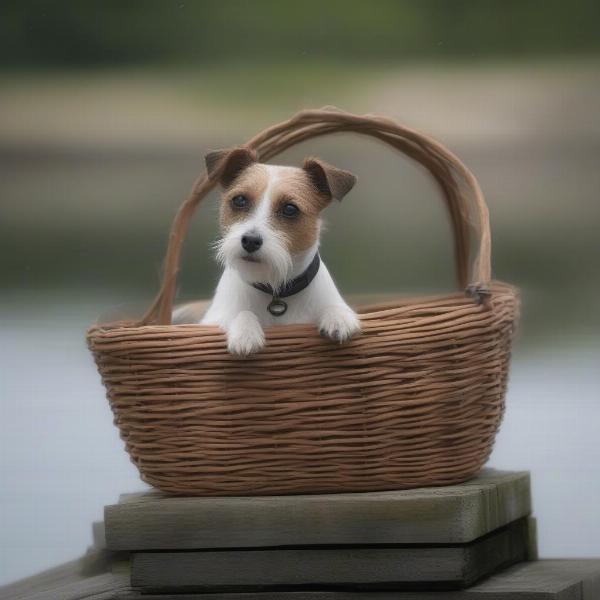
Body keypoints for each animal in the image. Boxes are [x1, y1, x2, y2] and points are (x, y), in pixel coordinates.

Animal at [176, 149, 358, 356]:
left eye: (290, 209)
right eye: (239, 200)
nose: (250, 241)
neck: (275, 291)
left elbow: (334, 306)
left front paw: (338, 316)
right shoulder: (213, 320)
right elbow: (242, 312)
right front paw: (245, 332)